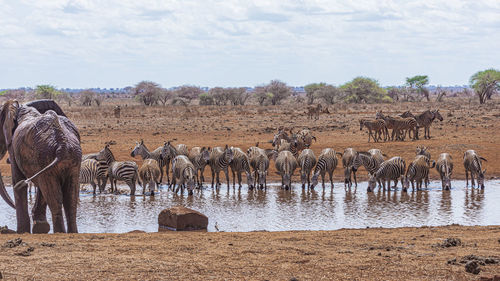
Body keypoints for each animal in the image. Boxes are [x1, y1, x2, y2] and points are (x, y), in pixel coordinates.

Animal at [0, 99, 81, 233]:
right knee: (70, 197)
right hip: (70, 160)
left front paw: (23, 231)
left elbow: (18, 181)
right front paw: (40, 227)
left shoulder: (14, 148)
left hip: (46, 156)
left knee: (54, 196)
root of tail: (62, 145)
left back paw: (59, 233)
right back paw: (72, 232)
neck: (21, 106)